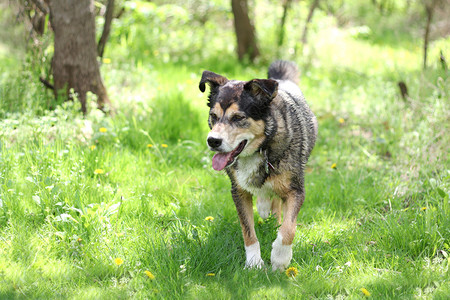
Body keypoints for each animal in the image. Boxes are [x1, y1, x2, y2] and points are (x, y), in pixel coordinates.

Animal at [199, 59, 318, 270]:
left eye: (238, 118)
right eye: (213, 116)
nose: (213, 141)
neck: (260, 148)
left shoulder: (296, 190)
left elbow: (288, 229)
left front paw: (280, 258)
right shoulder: (238, 191)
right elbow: (248, 230)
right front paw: (254, 262)